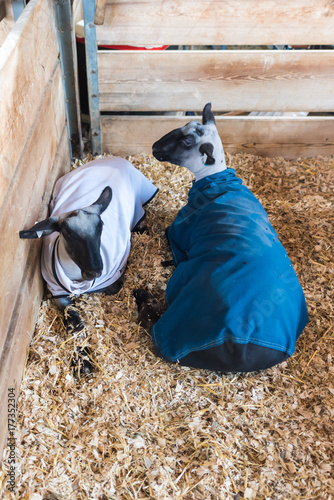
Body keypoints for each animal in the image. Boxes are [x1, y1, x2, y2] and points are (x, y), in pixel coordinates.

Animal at [20, 158, 158, 374]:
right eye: (67, 233)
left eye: (101, 226)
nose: (95, 270)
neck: (78, 278)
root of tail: (113, 158)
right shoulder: (59, 294)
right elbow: (75, 324)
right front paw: (82, 361)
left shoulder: (114, 282)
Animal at [133, 103, 308, 374]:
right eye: (184, 126)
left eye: (187, 141)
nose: (153, 147)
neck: (213, 177)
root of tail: (245, 344)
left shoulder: (178, 231)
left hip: (182, 291)